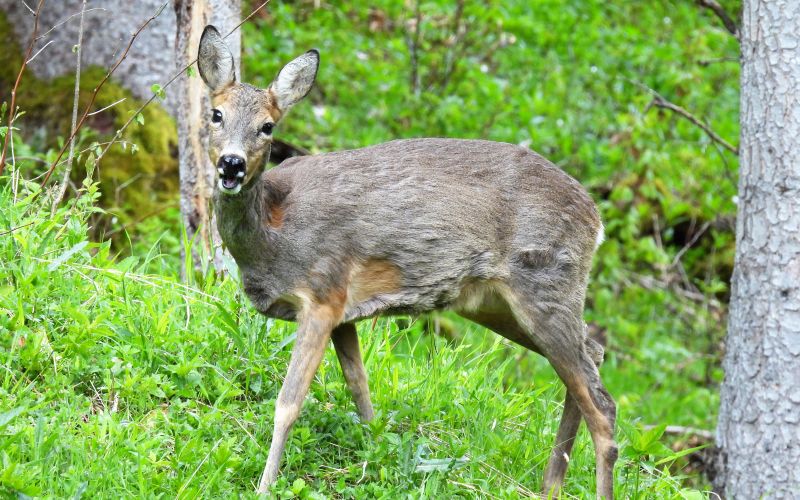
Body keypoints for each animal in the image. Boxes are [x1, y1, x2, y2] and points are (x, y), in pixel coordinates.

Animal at [197, 25, 618, 498]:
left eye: (267, 127)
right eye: (216, 114)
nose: (231, 165)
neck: (274, 234)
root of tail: (596, 218)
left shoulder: (323, 292)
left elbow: (288, 403)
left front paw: (265, 486)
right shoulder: (344, 312)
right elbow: (360, 391)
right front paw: (376, 457)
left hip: (544, 283)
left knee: (603, 406)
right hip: (498, 303)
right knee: (593, 355)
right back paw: (549, 486)